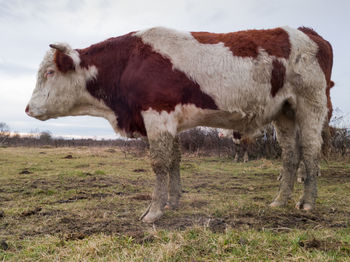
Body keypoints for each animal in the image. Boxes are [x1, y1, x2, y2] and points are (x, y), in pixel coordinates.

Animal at [25, 26, 334, 223]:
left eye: (49, 72)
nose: (28, 109)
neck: (130, 61)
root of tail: (308, 33)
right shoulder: (169, 120)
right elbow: (174, 160)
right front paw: (172, 201)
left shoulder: (158, 116)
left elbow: (160, 164)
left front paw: (154, 211)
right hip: (285, 113)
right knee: (290, 155)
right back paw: (280, 200)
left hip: (311, 105)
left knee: (310, 151)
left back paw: (307, 202)